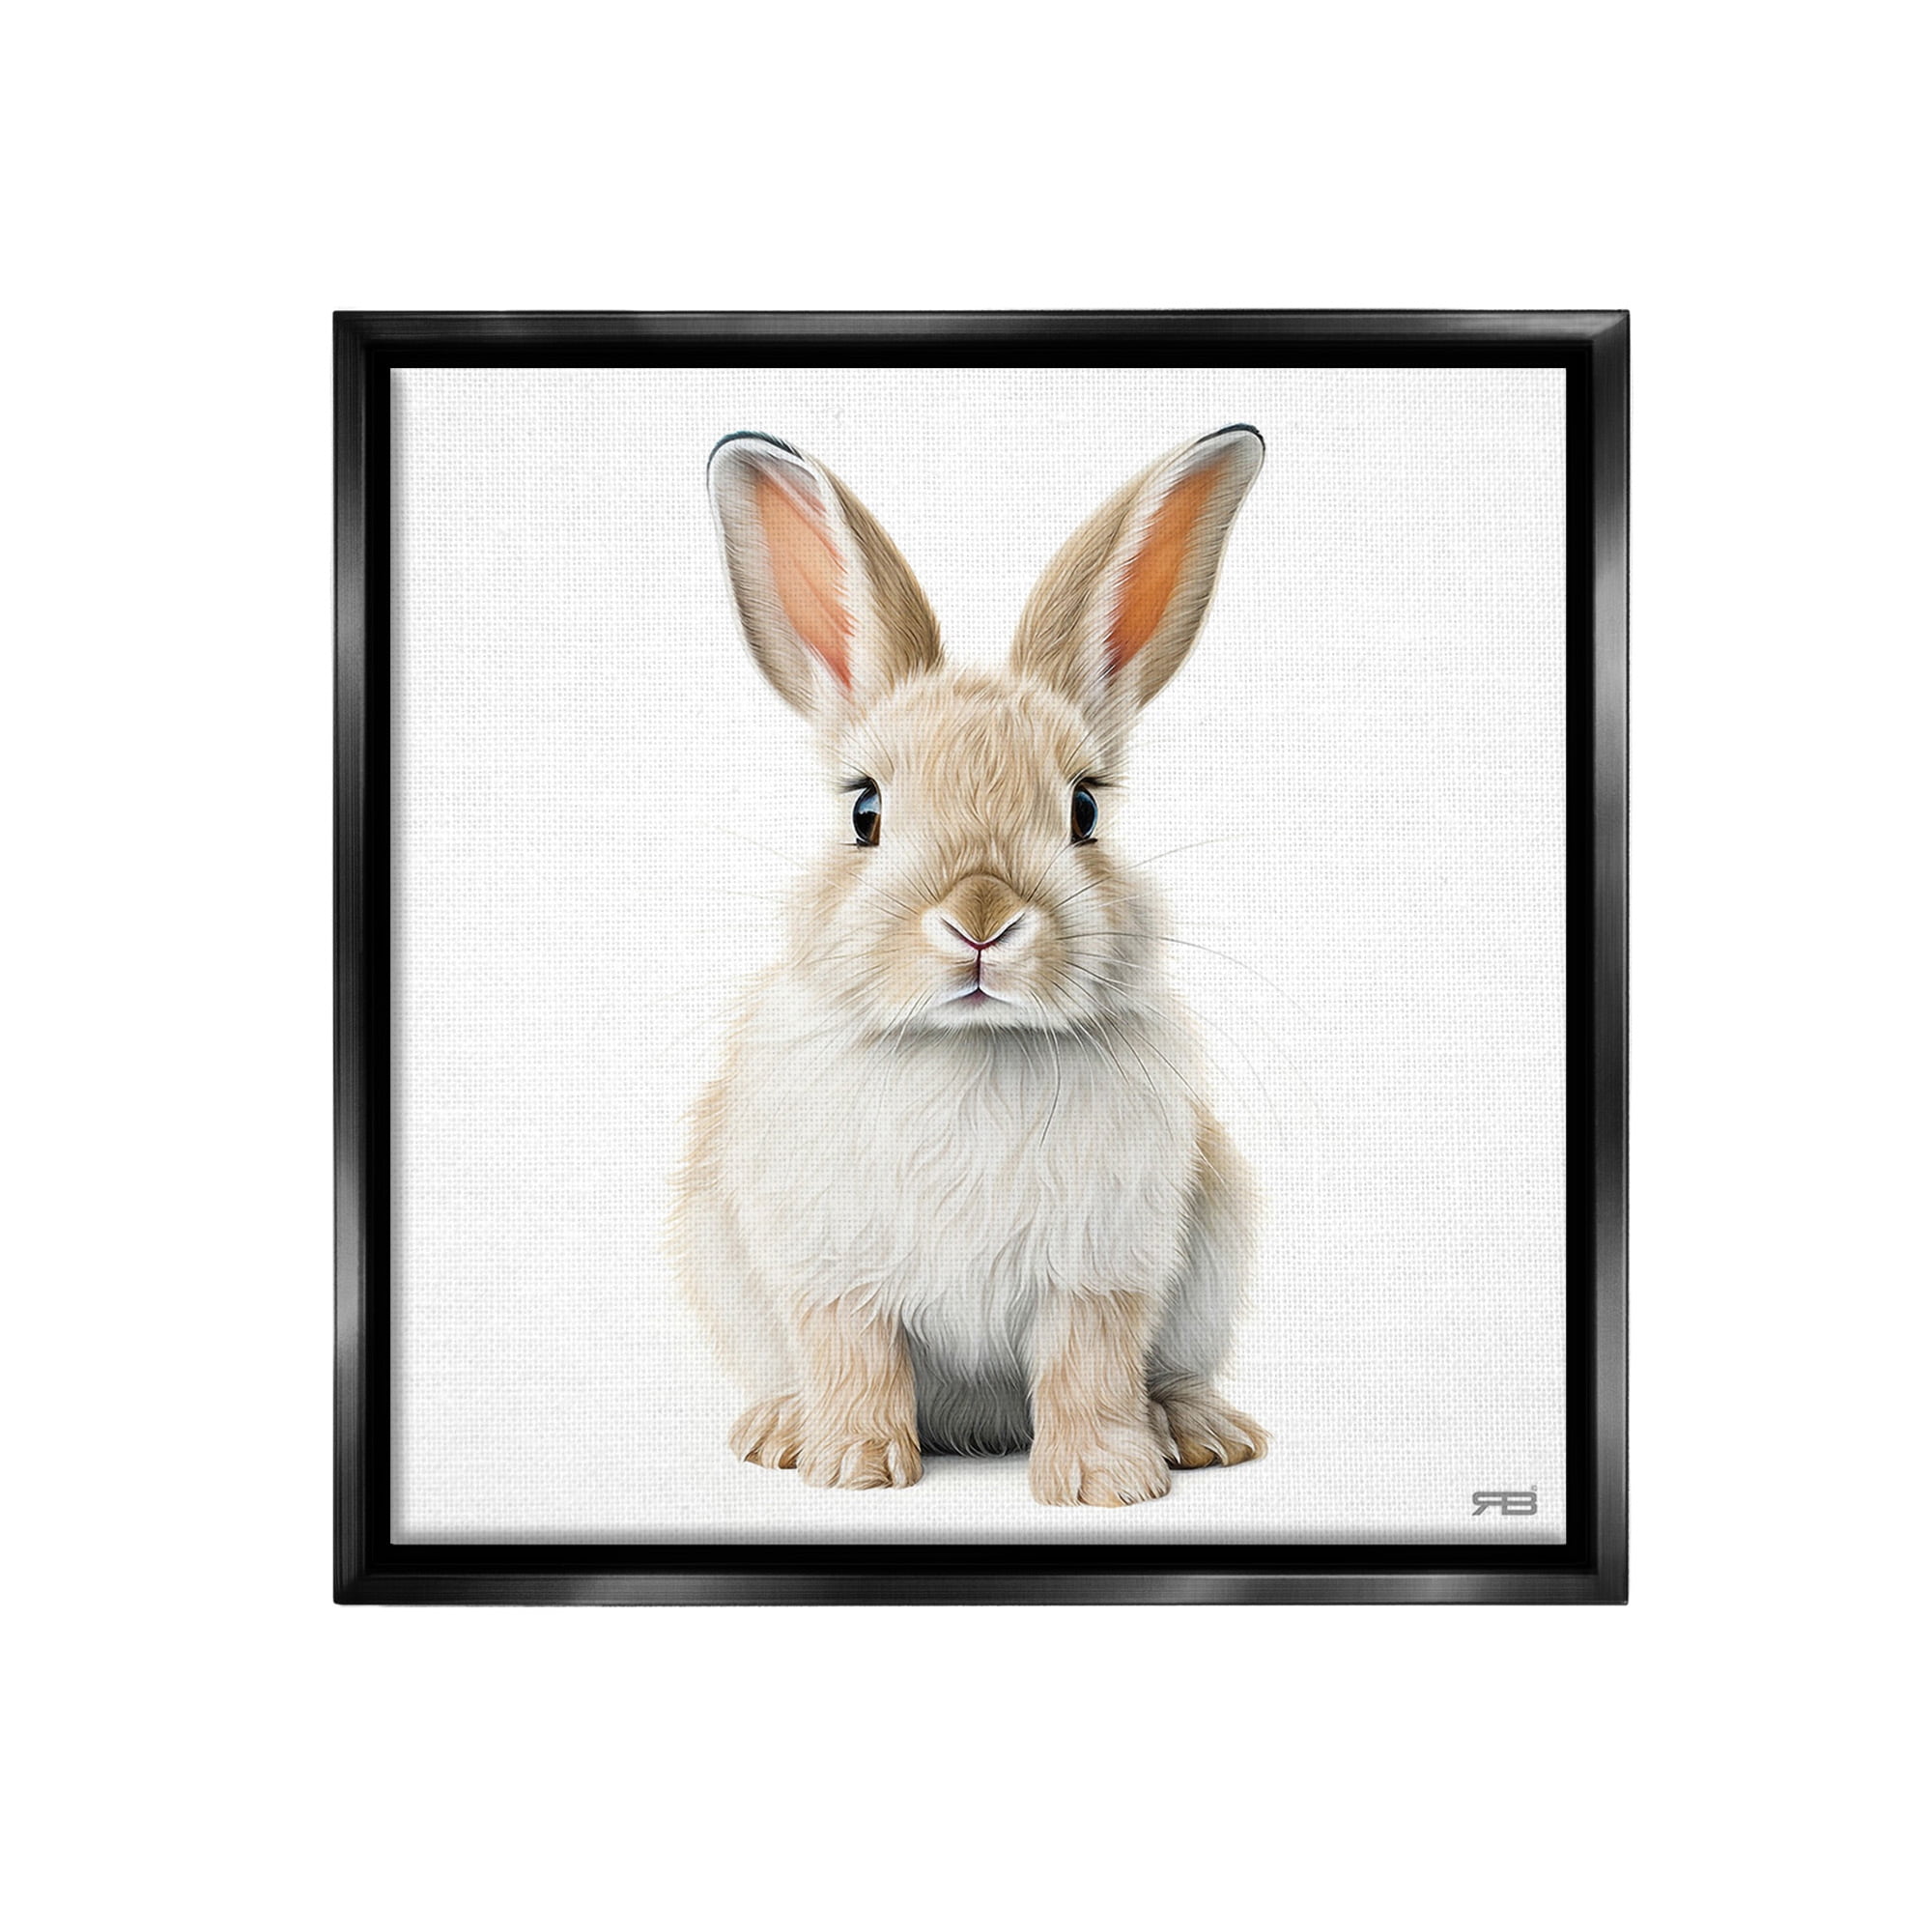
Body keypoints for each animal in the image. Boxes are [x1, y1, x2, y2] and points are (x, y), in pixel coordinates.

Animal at [670, 425, 1269, 1506]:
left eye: (1084, 809)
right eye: (864, 811)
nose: (980, 918)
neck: (972, 1043)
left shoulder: (1100, 1267)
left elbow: (1087, 1366)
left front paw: (1104, 1483)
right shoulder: (834, 1268)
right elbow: (855, 1357)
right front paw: (854, 1467)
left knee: (1165, 1372)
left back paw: (1196, 1431)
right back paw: (780, 1428)